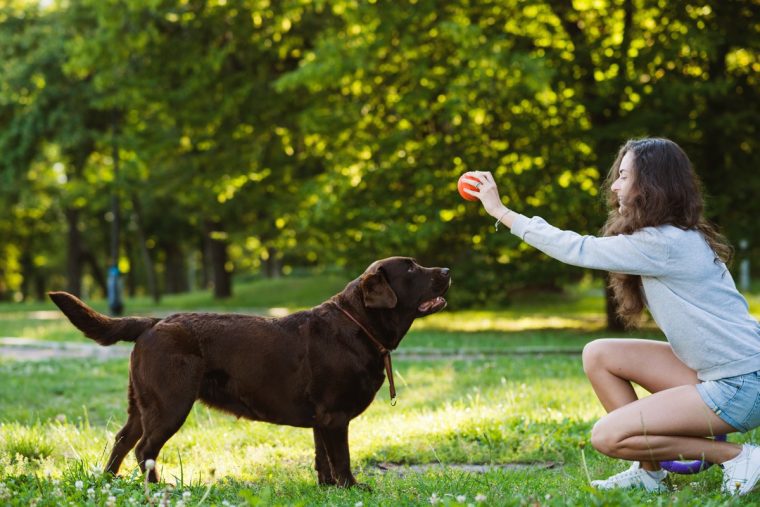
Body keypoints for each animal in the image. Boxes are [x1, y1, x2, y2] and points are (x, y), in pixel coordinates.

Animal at [47, 258, 448, 488]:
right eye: (411, 269)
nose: (447, 271)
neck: (358, 324)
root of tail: (155, 322)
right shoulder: (335, 416)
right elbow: (342, 458)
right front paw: (352, 487)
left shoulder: (321, 418)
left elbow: (322, 458)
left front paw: (328, 488)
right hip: (171, 403)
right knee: (145, 448)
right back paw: (158, 489)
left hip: (142, 404)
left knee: (122, 440)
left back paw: (109, 483)